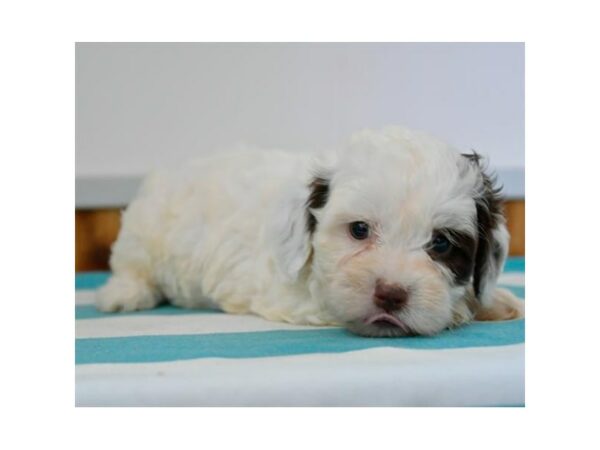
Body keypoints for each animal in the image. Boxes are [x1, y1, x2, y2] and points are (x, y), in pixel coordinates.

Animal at [96, 125, 524, 336]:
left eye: (441, 243)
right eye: (359, 230)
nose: (390, 294)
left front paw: (495, 301)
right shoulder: (293, 294)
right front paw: (463, 311)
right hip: (142, 234)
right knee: (131, 267)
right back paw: (123, 294)